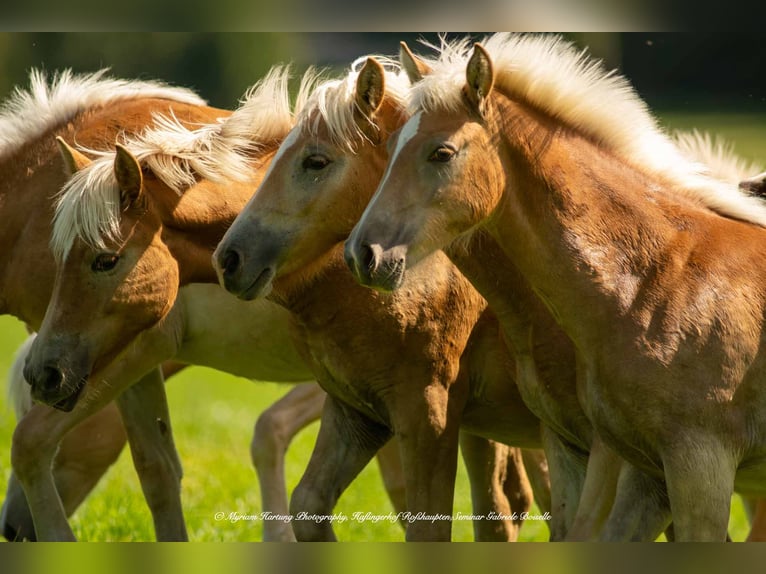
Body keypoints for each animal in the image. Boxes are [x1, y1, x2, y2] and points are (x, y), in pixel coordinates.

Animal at [346, 33, 766, 544]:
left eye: (441, 153)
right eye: (391, 147)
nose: (363, 253)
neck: (656, 282)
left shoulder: (700, 468)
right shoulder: (647, 474)